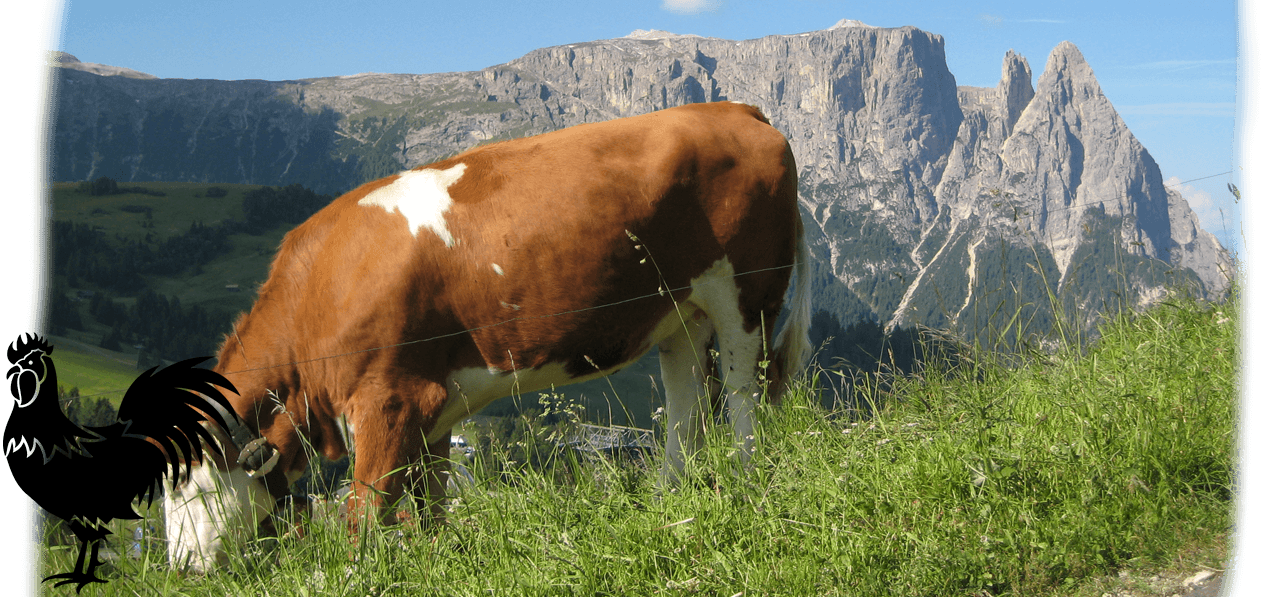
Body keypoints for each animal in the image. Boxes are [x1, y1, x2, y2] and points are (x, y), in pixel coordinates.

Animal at [162, 100, 812, 572]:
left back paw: (746, 485)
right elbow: (428, 500)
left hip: (747, 294)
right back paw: (669, 501)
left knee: (743, 395)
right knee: (685, 402)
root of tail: (735, 109)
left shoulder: (388, 400)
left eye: (189, 493)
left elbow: (365, 512)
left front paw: (354, 574)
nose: (179, 568)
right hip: (678, 312)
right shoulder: (432, 407)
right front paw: (436, 559)